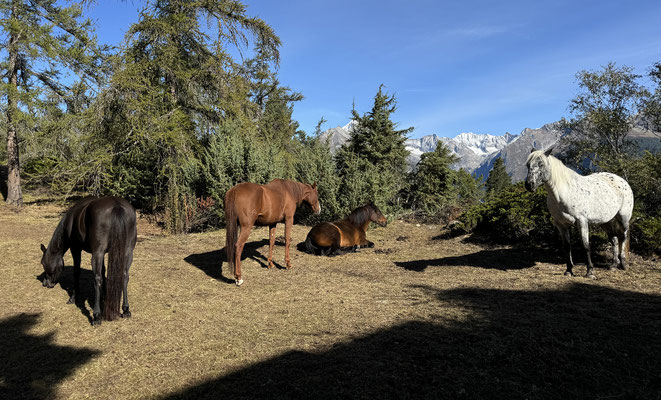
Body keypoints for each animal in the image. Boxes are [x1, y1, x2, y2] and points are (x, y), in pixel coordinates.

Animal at [40, 196, 137, 325]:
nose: (45, 283)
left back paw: (96, 316)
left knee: (97, 279)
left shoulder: (76, 249)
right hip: (127, 252)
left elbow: (77, 272)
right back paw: (126, 310)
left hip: (97, 254)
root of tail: (117, 205)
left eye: (43, 263)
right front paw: (104, 297)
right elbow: (103, 271)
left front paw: (73, 297)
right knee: (125, 276)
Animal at [525, 147, 634, 278]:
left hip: (623, 217)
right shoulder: (561, 225)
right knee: (614, 239)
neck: (564, 193)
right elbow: (567, 247)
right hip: (605, 221)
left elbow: (585, 246)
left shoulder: (582, 222)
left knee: (623, 236)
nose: (529, 185)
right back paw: (613, 265)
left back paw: (623, 264)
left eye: (541, 164)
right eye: (528, 165)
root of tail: (622, 181)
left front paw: (590, 272)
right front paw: (568, 271)